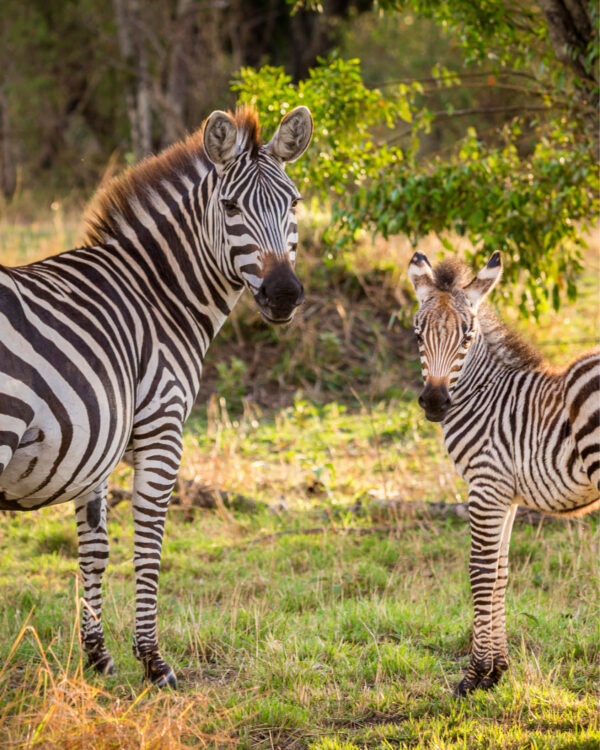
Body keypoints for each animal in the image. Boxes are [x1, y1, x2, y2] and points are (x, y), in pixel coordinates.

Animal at [0, 105, 313, 687]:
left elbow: (95, 548)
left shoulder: (96, 439)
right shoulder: (163, 428)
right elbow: (150, 543)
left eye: (295, 203)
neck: (156, 294)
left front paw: (98, 657)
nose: (284, 295)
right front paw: (153, 661)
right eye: (230, 207)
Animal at [407, 250, 599, 696]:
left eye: (466, 338)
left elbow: (480, 571)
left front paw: (473, 676)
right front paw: (496, 671)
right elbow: (501, 573)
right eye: (417, 336)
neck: (484, 395)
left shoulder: (485, 485)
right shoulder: (505, 495)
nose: (435, 403)